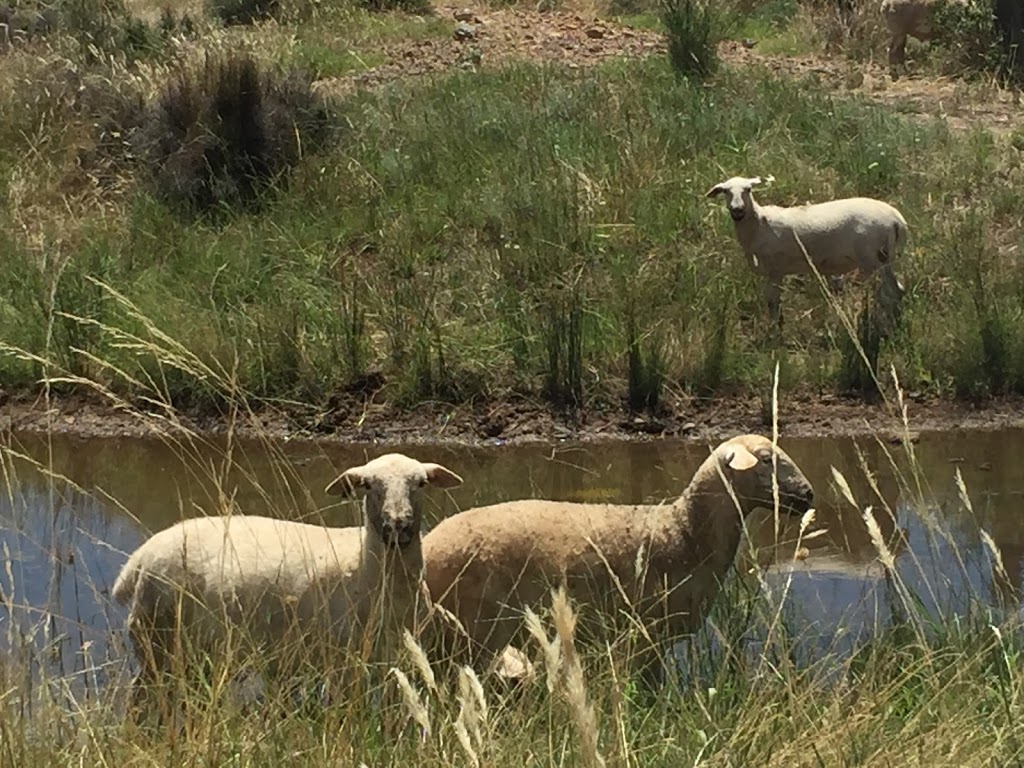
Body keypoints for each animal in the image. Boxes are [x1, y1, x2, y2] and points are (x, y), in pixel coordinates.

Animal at [113, 450, 464, 716]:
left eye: (421, 483)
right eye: (366, 484)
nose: (398, 527)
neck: (365, 568)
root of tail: (142, 555)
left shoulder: (398, 659)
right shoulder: (342, 661)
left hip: (193, 651)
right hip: (157, 642)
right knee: (140, 700)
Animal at [419, 436, 811, 688]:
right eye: (765, 458)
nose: (808, 495)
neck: (683, 532)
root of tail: (428, 542)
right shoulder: (647, 635)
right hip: (473, 630)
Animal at [708, 177, 909, 335]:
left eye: (748, 189)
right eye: (725, 191)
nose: (737, 210)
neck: (759, 225)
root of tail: (897, 221)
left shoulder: (774, 270)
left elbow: (772, 302)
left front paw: (774, 332)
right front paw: (778, 326)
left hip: (874, 258)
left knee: (890, 292)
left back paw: (889, 327)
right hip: (886, 258)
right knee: (898, 290)